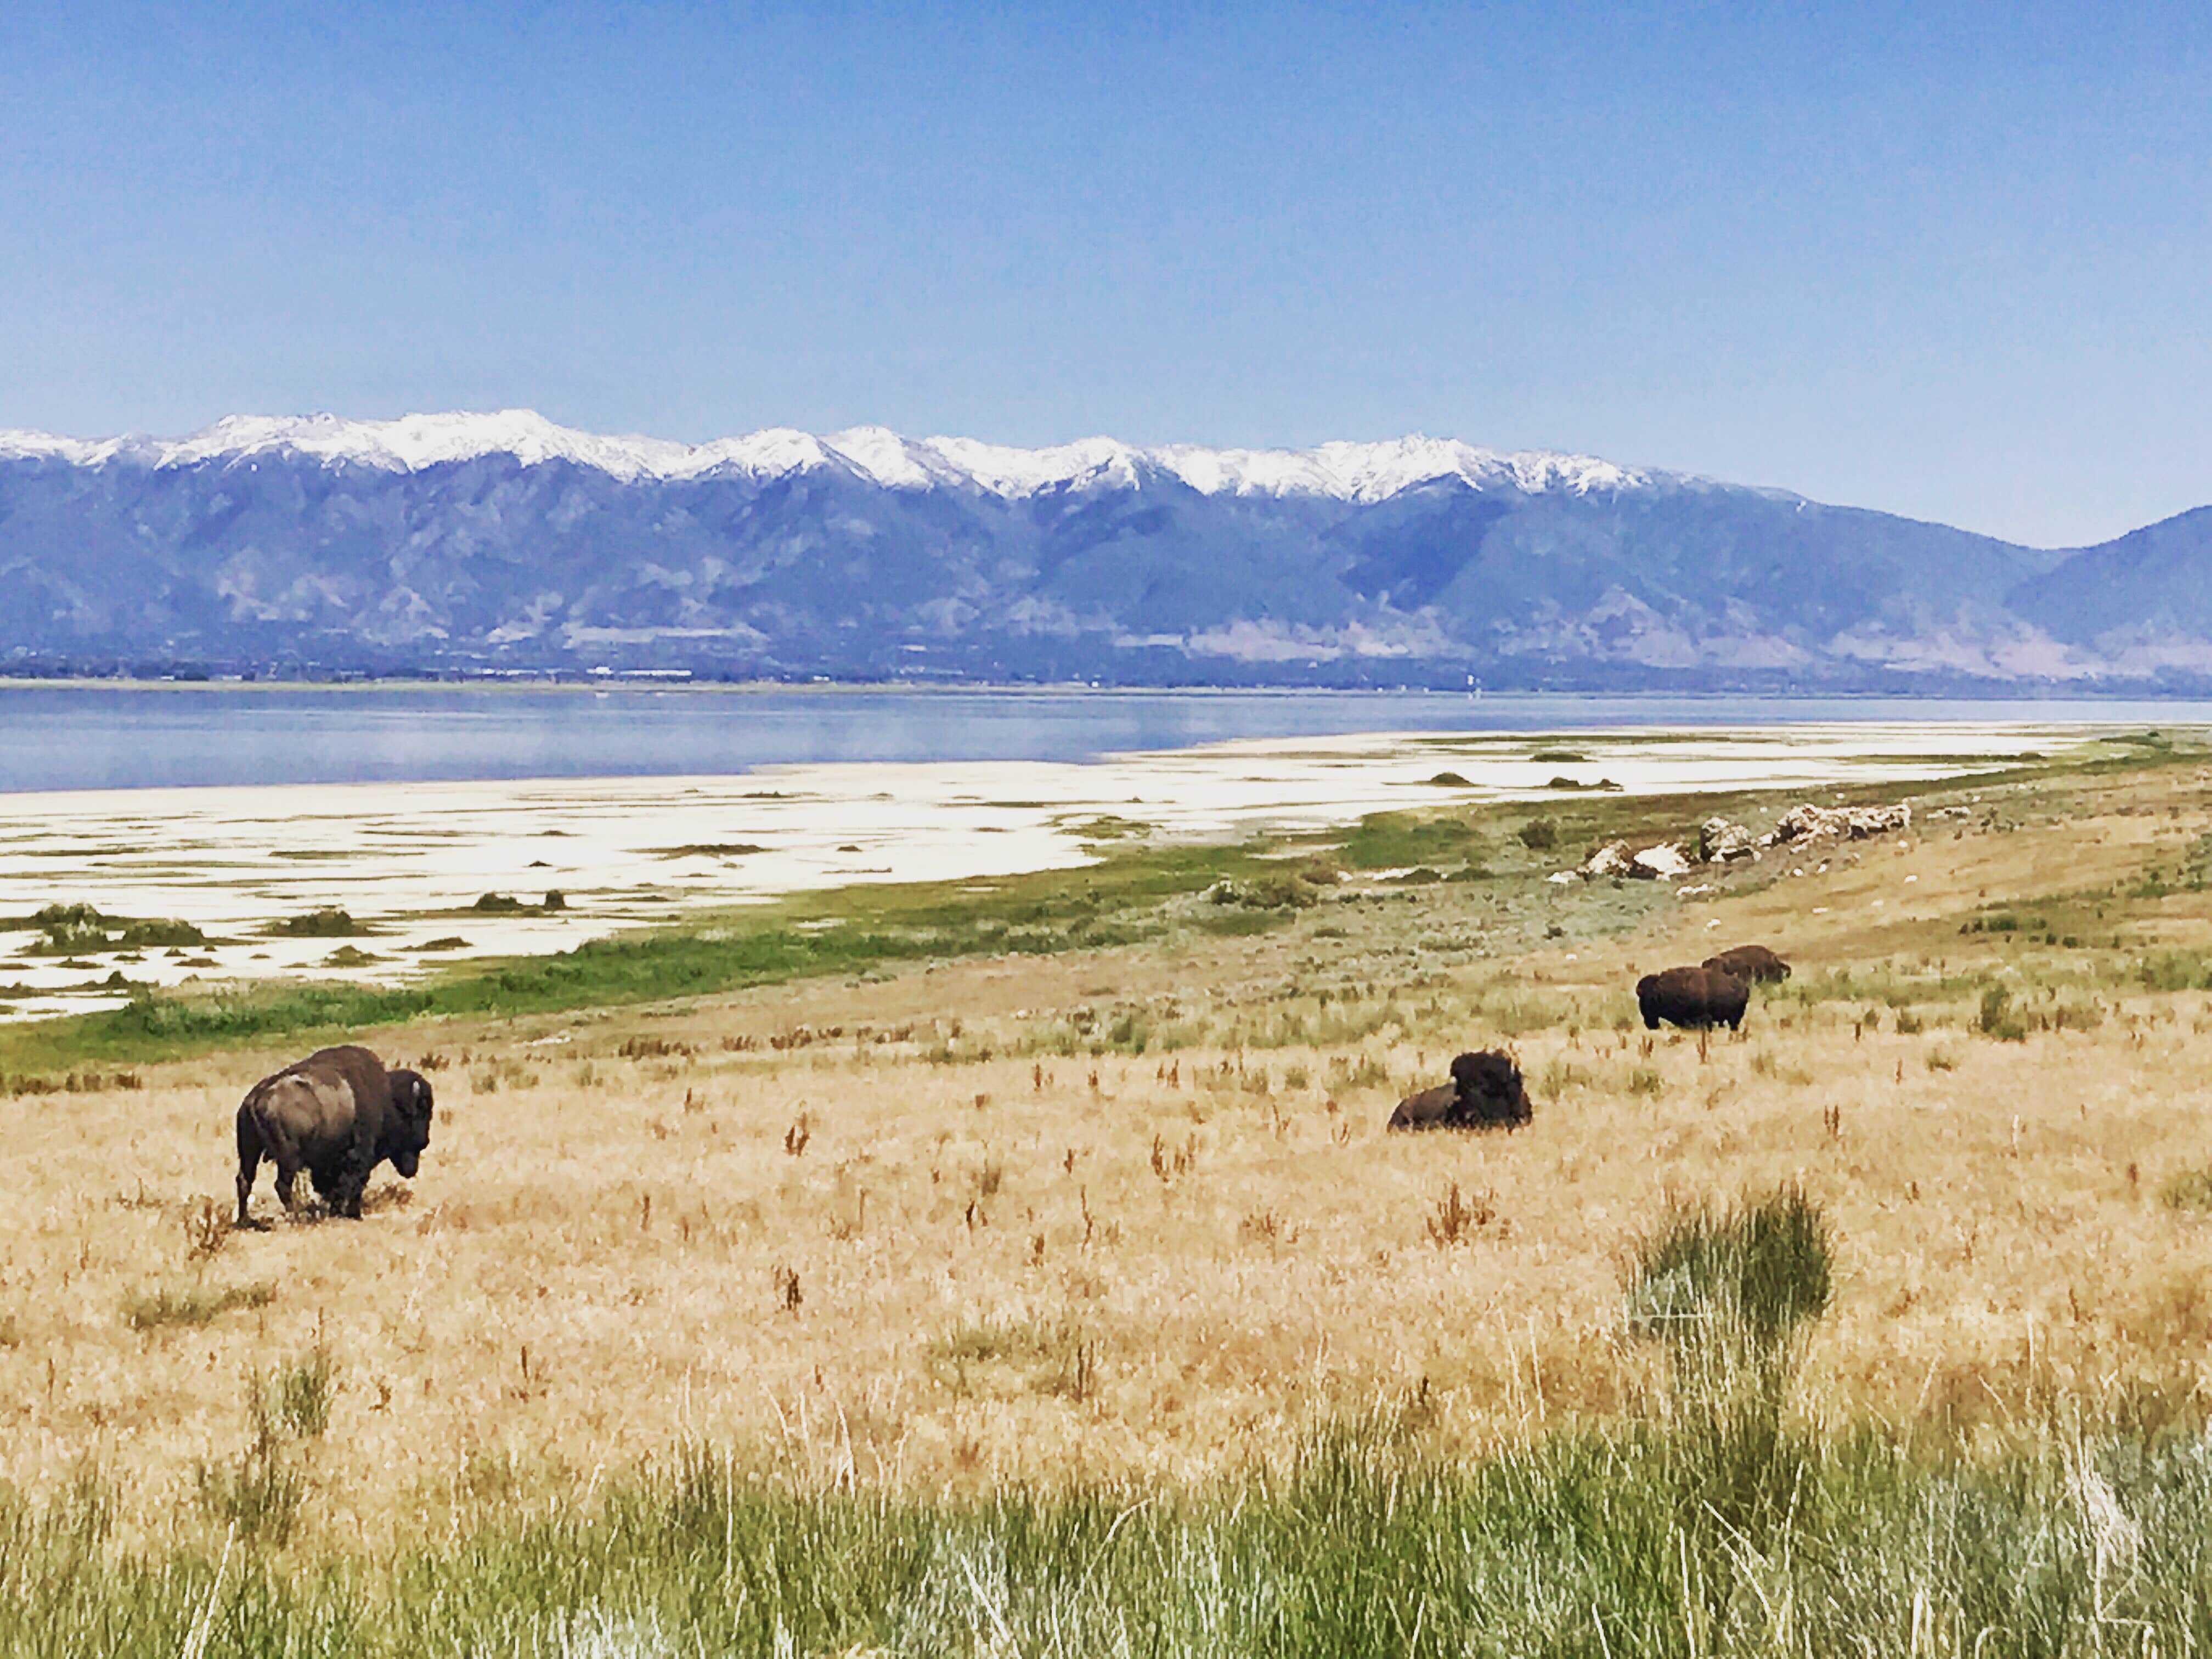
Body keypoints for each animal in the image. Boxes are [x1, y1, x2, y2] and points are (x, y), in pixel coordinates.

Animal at [235, 1044, 438, 1229]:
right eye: (421, 1112)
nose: (425, 1141)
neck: (389, 1099)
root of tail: (256, 1098)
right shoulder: (359, 1155)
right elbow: (355, 1182)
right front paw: (354, 1214)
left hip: (249, 1151)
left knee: (245, 1180)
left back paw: (246, 1221)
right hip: (288, 1159)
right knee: (282, 1186)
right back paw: (297, 1218)